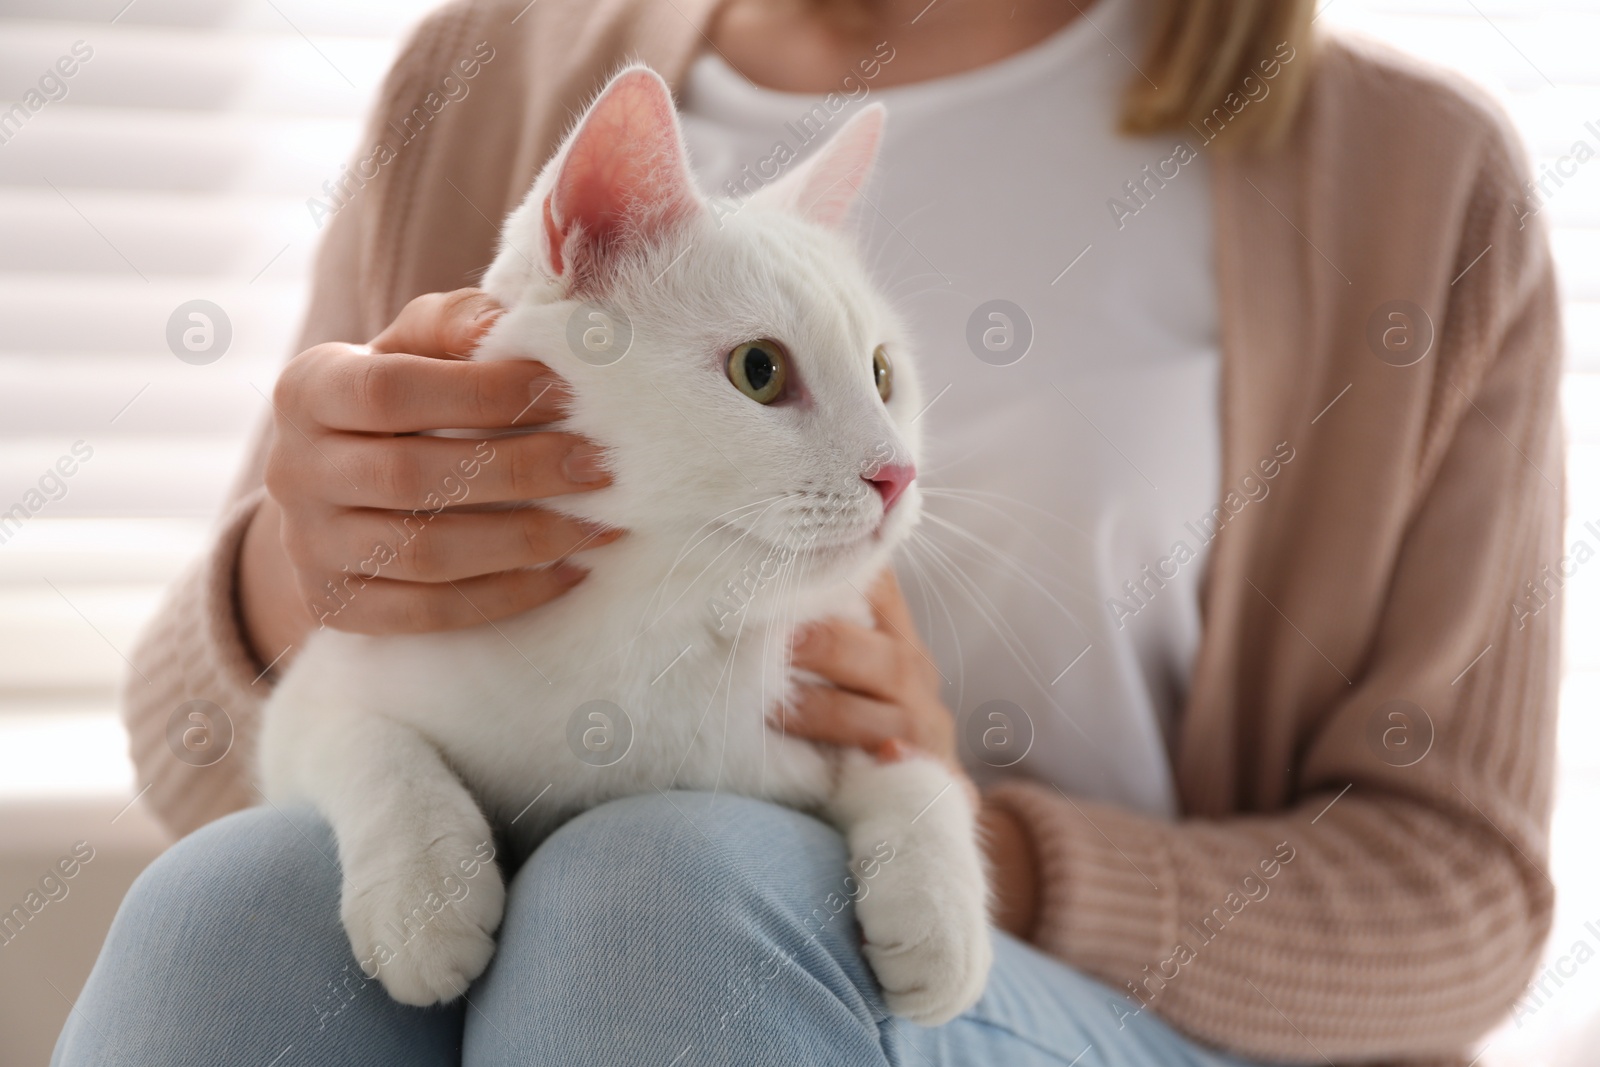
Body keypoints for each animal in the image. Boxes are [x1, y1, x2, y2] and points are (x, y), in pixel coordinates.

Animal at [254, 64, 985, 1023]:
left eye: (882, 373)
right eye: (760, 370)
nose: (897, 474)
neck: (653, 628)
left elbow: (916, 764)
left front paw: (941, 919)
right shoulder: (313, 694)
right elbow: (374, 749)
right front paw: (424, 898)